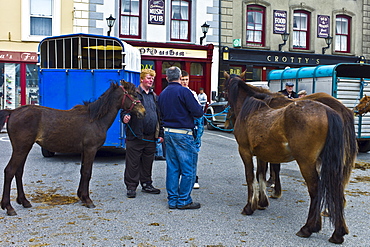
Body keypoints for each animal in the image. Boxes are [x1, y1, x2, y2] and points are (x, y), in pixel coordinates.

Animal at [0, 79, 145, 216]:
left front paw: (81, 196)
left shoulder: (84, 151)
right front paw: (87, 200)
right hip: (21, 148)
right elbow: (87, 172)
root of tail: (12, 111)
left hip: (24, 148)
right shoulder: (90, 149)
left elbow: (82, 171)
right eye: (133, 94)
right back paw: (9, 207)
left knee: (18, 172)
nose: (143, 112)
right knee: (10, 171)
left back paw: (24, 201)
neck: (96, 119)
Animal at [224, 72, 354, 244]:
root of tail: (329, 111)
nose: (227, 121)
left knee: (316, 189)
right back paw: (338, 232)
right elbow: (261, 174)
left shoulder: (245, 151)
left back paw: (308, 228)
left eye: (223, 89)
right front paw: (262, 202)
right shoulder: (262, 154)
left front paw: (250, 206)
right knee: (335, 188)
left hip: (306, 163)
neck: (250, 111)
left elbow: (251, 177)